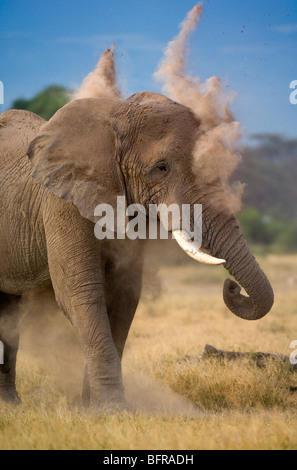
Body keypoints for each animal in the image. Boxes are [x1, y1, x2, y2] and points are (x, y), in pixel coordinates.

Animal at [0, 90, 272, 410]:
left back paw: (10, 404)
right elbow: (80, 293)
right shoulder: (61, 203)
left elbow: (124, 295)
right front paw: (112, 409)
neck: (115, 117)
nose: (232, 286)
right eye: (161, 168)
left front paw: (92, 408)